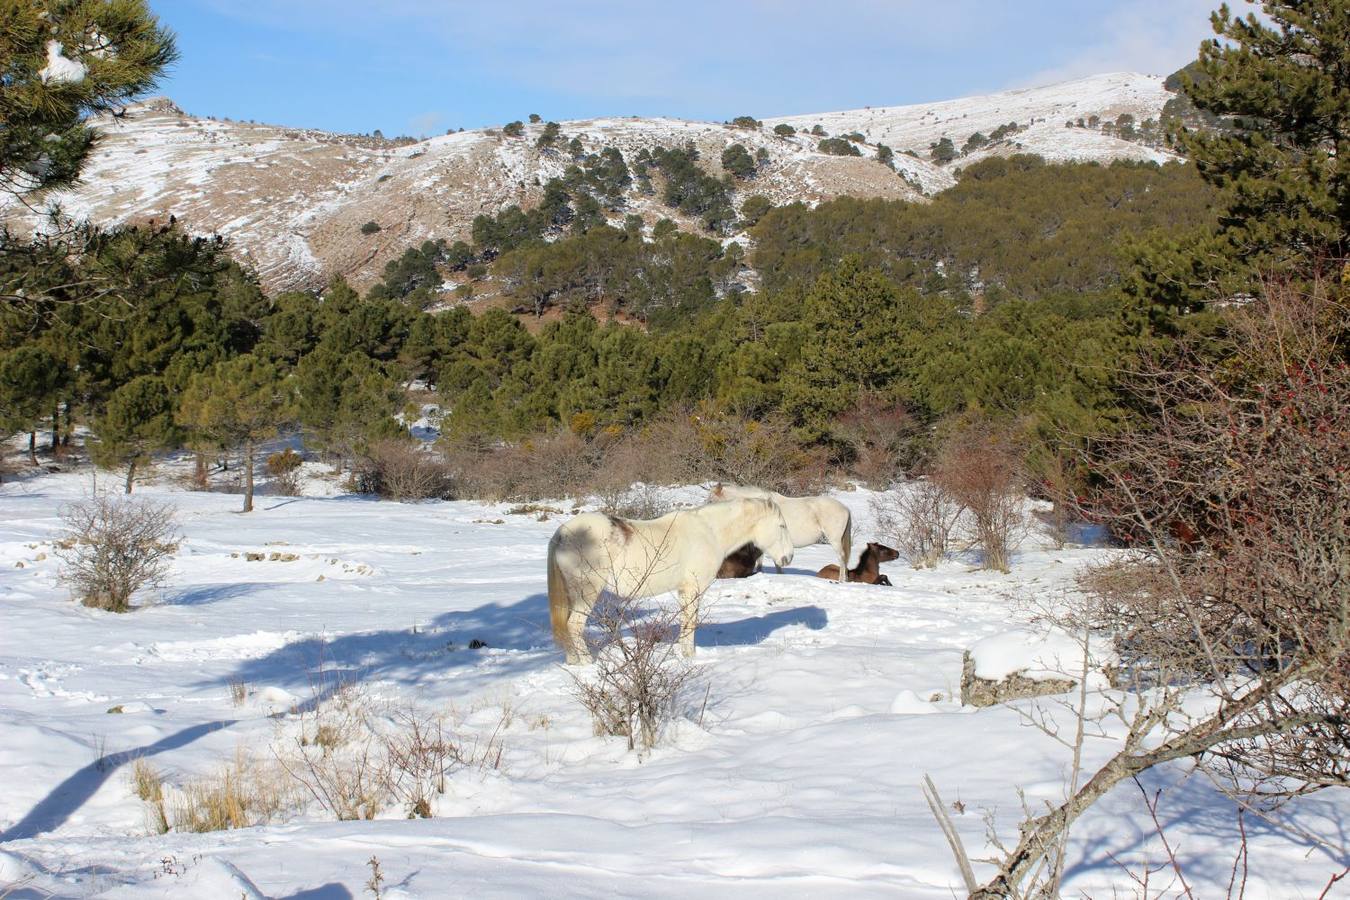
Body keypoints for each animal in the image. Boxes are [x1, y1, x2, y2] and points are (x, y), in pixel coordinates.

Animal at [548, 496, 793, 666]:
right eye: (781, 526)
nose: (788, 557)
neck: (710, 532)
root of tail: (562, 534)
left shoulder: (684, 591)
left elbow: (686, 622)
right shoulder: (693, 589)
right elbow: (690, 623)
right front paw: (689, 655)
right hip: (586, 592)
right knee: (574, 625)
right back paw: (587, 662)